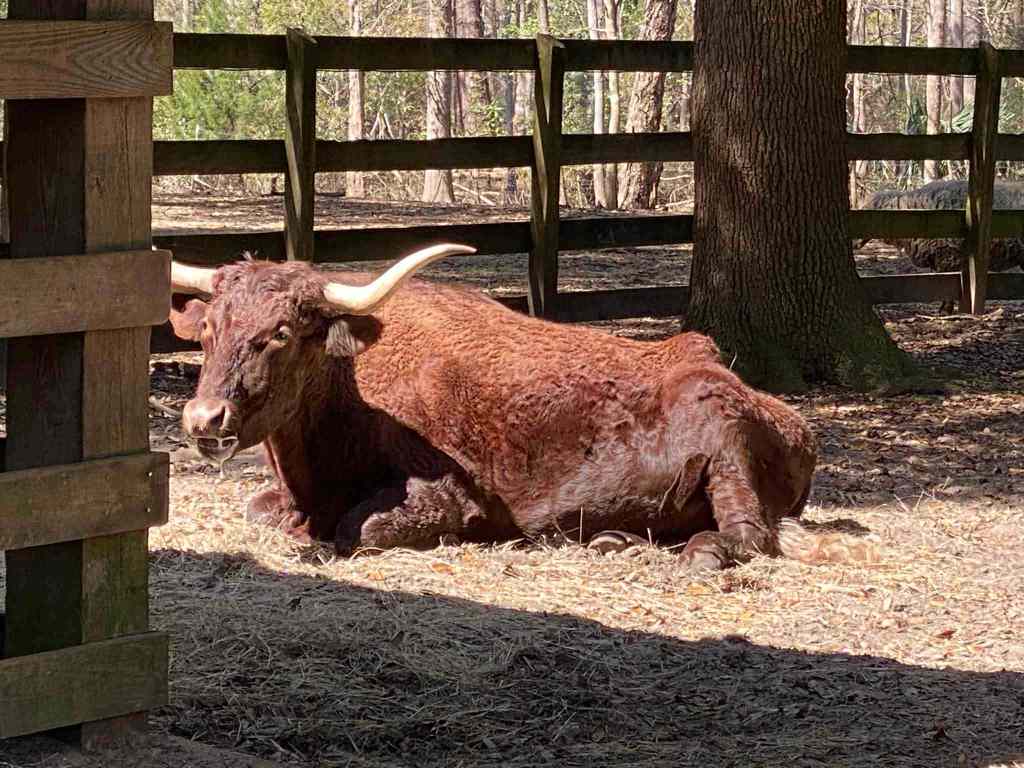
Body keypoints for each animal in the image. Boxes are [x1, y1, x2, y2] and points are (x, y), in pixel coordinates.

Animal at [169, 245, 873, 571]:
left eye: (281, 332)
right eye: (208, 331)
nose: (205, 421)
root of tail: (797, 424)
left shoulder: (445, 500)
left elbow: (354, 532)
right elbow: (262, 511)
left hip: (725, 449)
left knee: (749, 536)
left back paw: (694, 552)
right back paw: (613, 539)